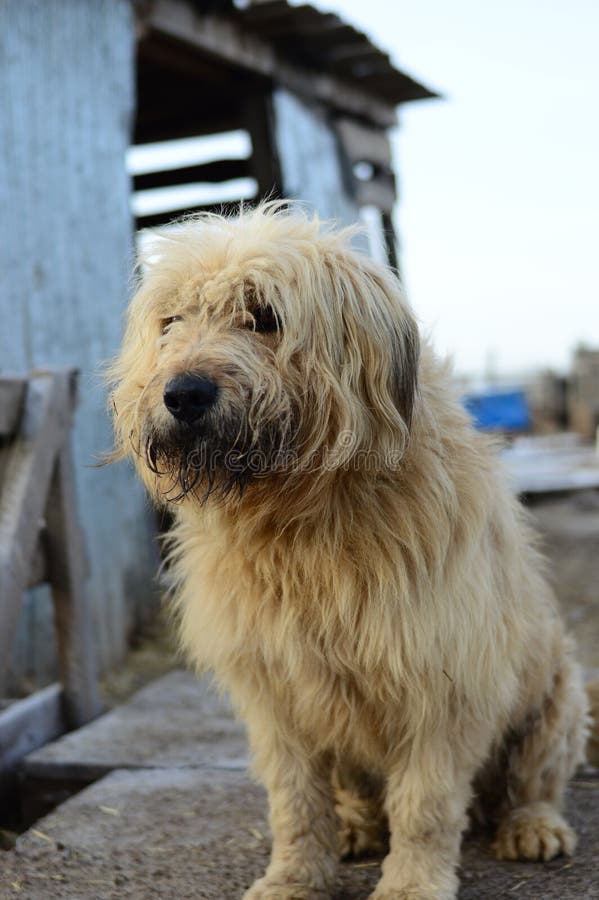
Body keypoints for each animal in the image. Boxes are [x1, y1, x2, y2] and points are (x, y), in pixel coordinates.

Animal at [110, 204, 588, 900]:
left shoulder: (440, 681)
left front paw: (412, 884)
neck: (301, 520)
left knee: (533, 780)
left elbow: (425, 804)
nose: (183, 394)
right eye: (171, 322)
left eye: (264, 316)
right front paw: (293, 877)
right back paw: (356, 829)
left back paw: (532, 826)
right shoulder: (277, 690)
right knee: (354, 795)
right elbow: (294, 802)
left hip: (556, 700)